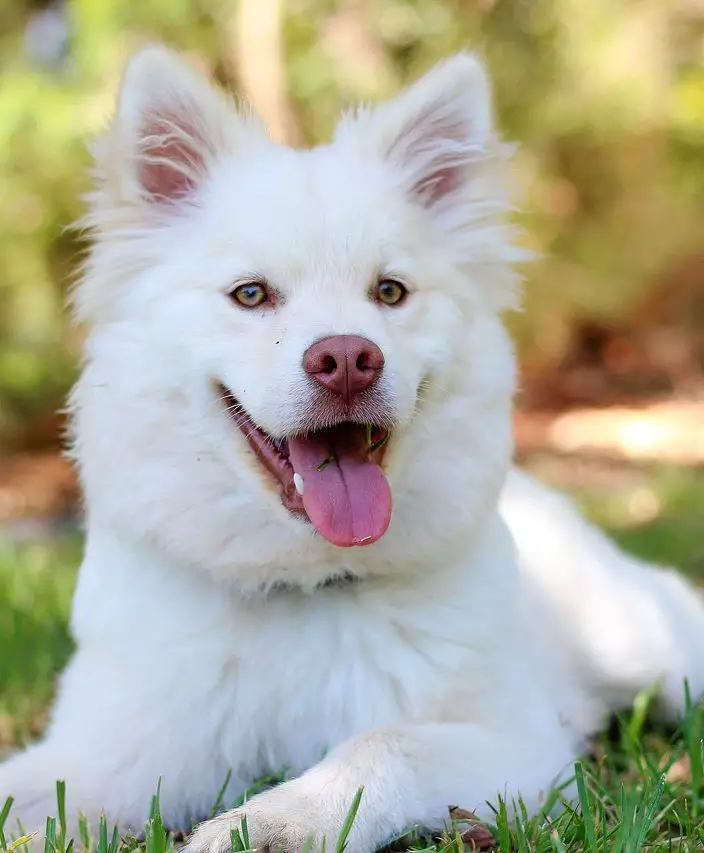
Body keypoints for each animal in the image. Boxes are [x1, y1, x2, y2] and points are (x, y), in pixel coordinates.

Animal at [1, 46, 704, 852]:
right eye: (251, 294)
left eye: (390, 292)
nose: (345, 360)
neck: (301, 585)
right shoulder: (108, 752)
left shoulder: (521, 746)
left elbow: (378, 746)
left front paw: (268, 824)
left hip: (651, 645)